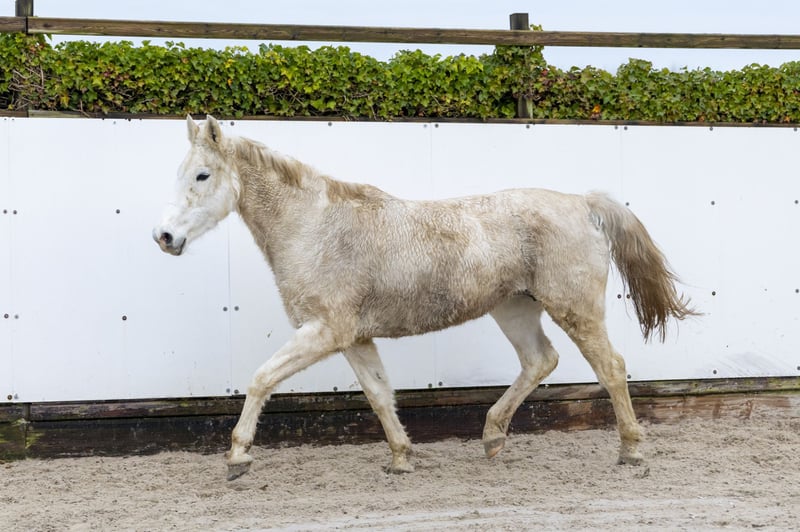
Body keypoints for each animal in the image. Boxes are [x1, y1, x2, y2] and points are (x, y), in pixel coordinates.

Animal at [153, 115, 696, 481]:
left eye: (201, 175)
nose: (164, 237)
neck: (315, 227)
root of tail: (582, 203)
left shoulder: (324, 331)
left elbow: (261, 379)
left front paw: (238, 457)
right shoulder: (353, 338)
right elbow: (379, 394)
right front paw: (400, 458)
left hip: (575, 309)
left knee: (611, 368)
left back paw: (630, 451)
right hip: (514, 308)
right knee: (540, 361)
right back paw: (492, 437)